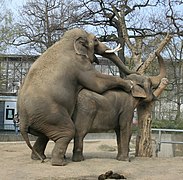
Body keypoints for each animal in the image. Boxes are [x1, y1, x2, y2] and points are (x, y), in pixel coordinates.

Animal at [17, 27, 136, 166]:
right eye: (95, 39)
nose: (132, 74)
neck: (66, 41)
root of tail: (23, 122)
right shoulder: (80, 64)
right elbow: (97, 82)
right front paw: (130, 85)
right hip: (51, 115)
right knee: (68, 131)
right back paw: (60, 162)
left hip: (42, 120)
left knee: (44, 135)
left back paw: (40, 158)